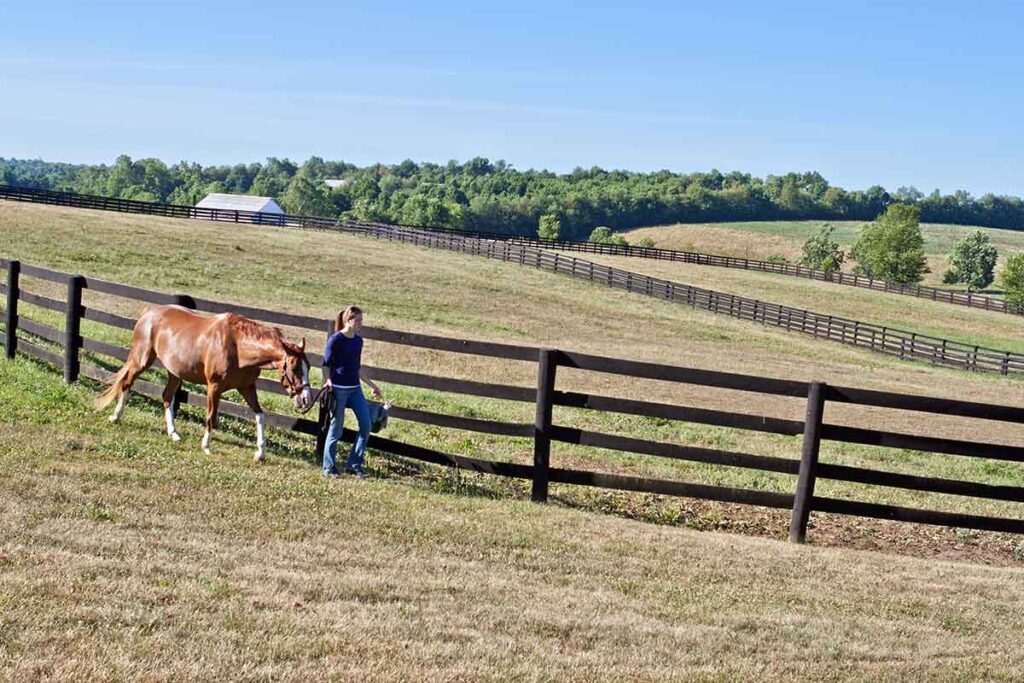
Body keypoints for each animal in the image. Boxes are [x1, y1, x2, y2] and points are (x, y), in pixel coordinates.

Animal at [96, 305, 314, 461]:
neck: (237, 346)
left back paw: (173, 433)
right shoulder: (214, 387)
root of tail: (149, 313)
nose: (306, 399)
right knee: (127, 383)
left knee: (167, 397)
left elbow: (260, 416)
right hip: (142, 360)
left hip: (174, 373)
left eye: (309, 367)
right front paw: (206, 447)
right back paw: (115, 417)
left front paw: (260, 453)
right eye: (295, 368)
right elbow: (211, 417)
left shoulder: (247, 387)